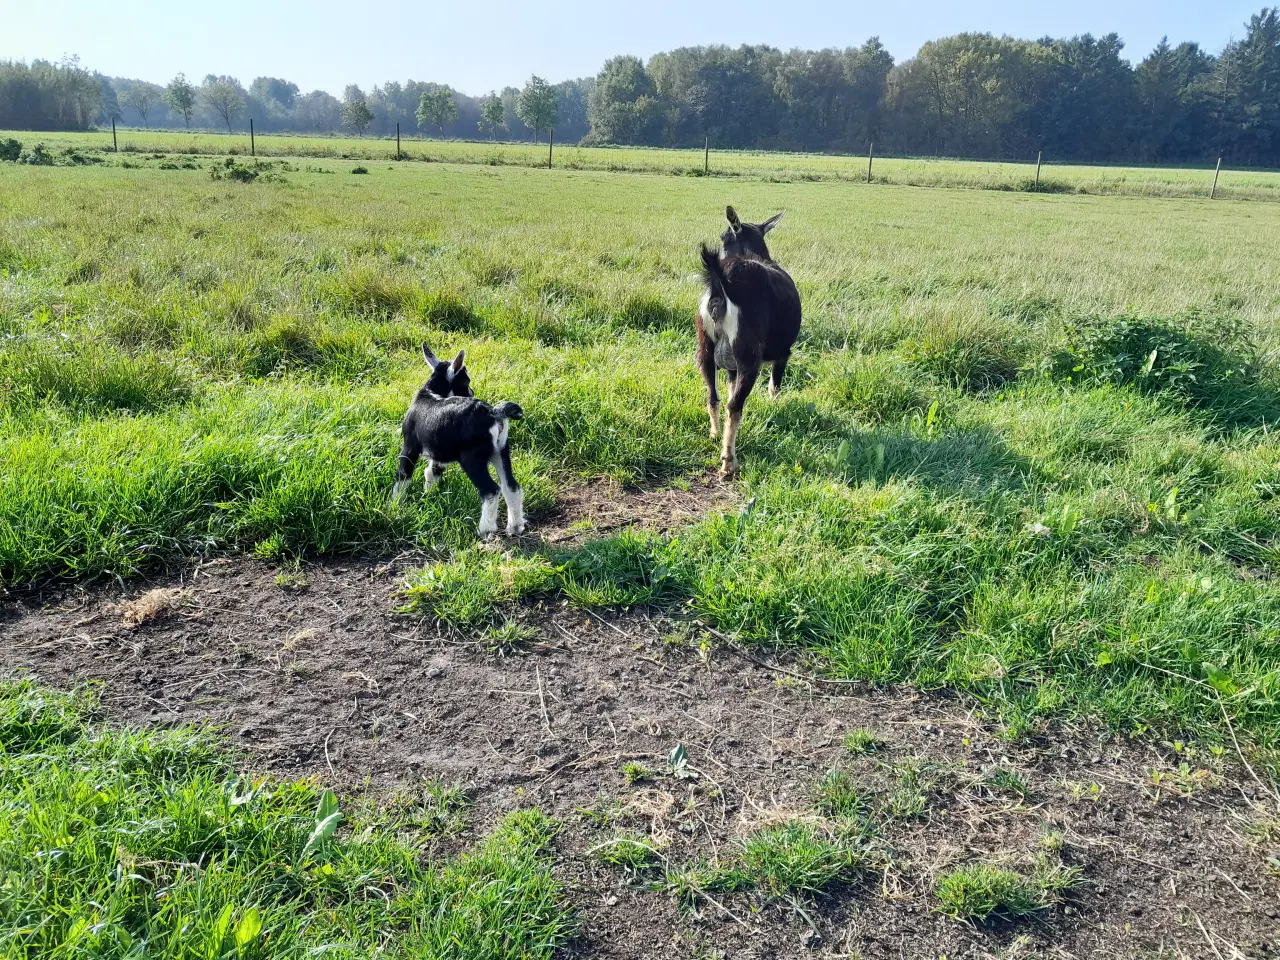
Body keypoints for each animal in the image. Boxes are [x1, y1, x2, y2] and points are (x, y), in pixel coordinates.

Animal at [391, 345, 527, 542]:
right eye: (466, 381)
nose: (472, 393)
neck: (430, 394)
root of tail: (492, 412)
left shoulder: (410, 446)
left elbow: (403, 475)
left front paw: (393, 506)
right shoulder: (439, 451)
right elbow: (432, 472)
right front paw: (428, 495)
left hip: (472, 458)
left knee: (491, 490)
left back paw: (485, 529)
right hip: (501, 451)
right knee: (511, 486)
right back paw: (515, 527)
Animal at [701, 209, 798, 481]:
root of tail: (722, 285)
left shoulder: (731, 366)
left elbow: (729, 387)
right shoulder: (783, 355)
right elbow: (774, 387)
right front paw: (774, 410)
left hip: (705, 348)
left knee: (714, 397)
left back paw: (715, 435)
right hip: (749, 357)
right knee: (735, 406)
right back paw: (728, 464)